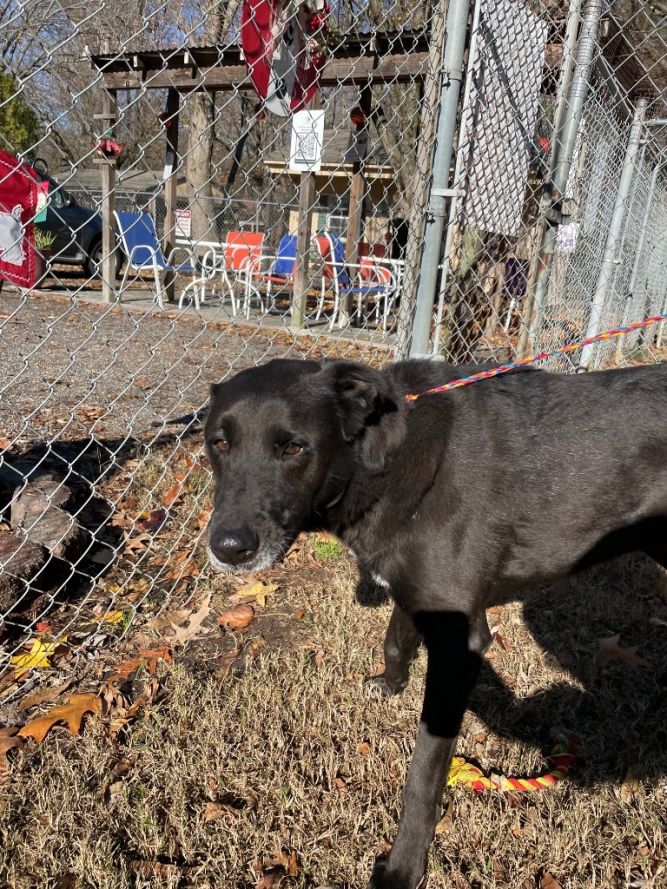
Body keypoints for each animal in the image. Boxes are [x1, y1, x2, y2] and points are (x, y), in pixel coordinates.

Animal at [205, 356, 667, 888]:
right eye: (218, 443)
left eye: (293, 447)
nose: (228, 548)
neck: (388, 463)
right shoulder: (417, 596)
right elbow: (395, 641)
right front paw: (390, 683)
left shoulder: (459, 641)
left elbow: (423, 775)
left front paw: (404, 868)